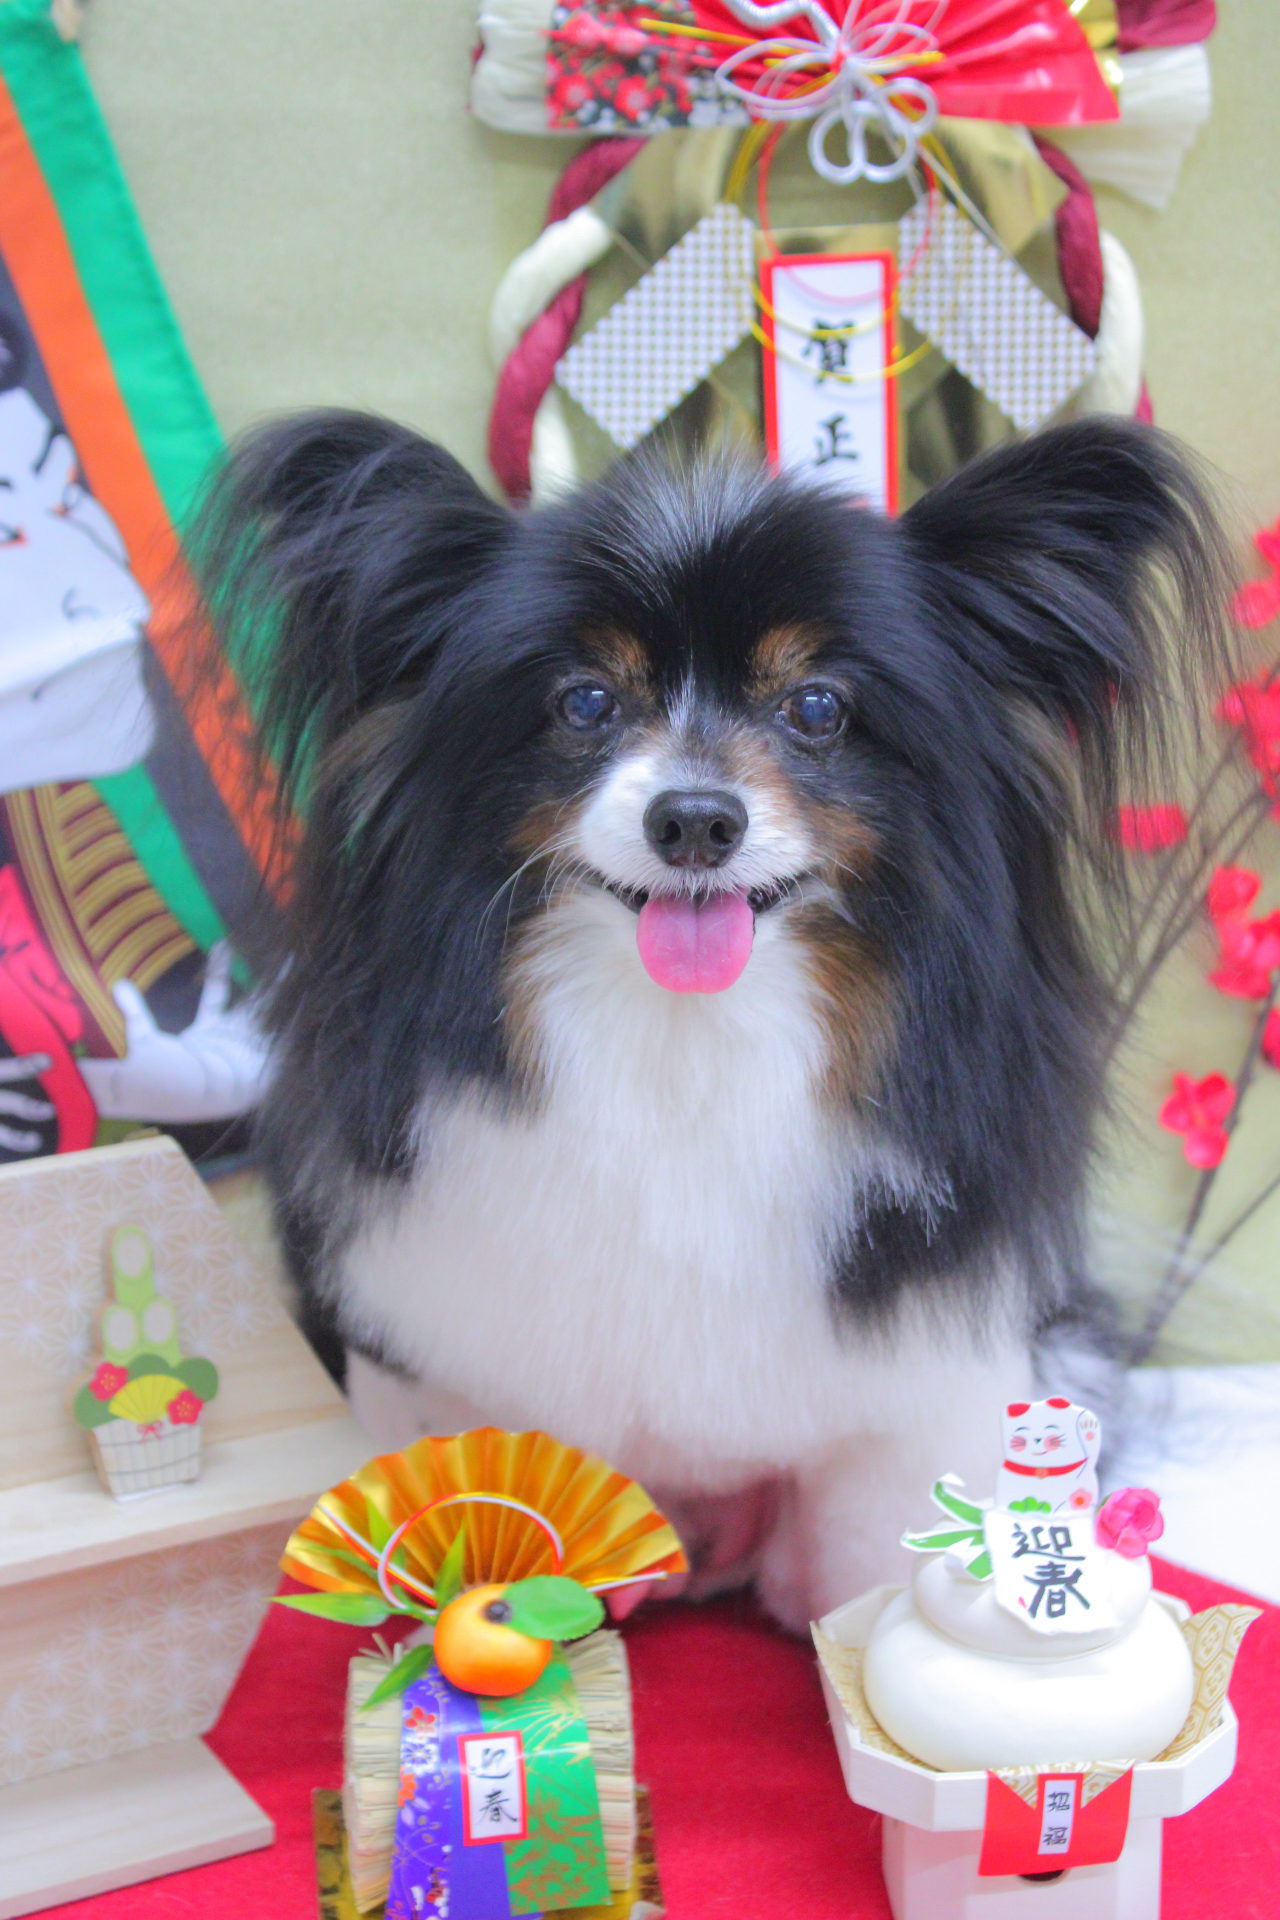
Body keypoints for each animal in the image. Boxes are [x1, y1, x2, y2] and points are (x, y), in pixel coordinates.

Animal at [197, 412, 1228, 1630]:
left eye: (817, 707)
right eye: (584, 701)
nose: (693, 818)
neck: (684, 1045)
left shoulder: (912, 1391)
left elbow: (866, 1578)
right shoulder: (434, 1346)